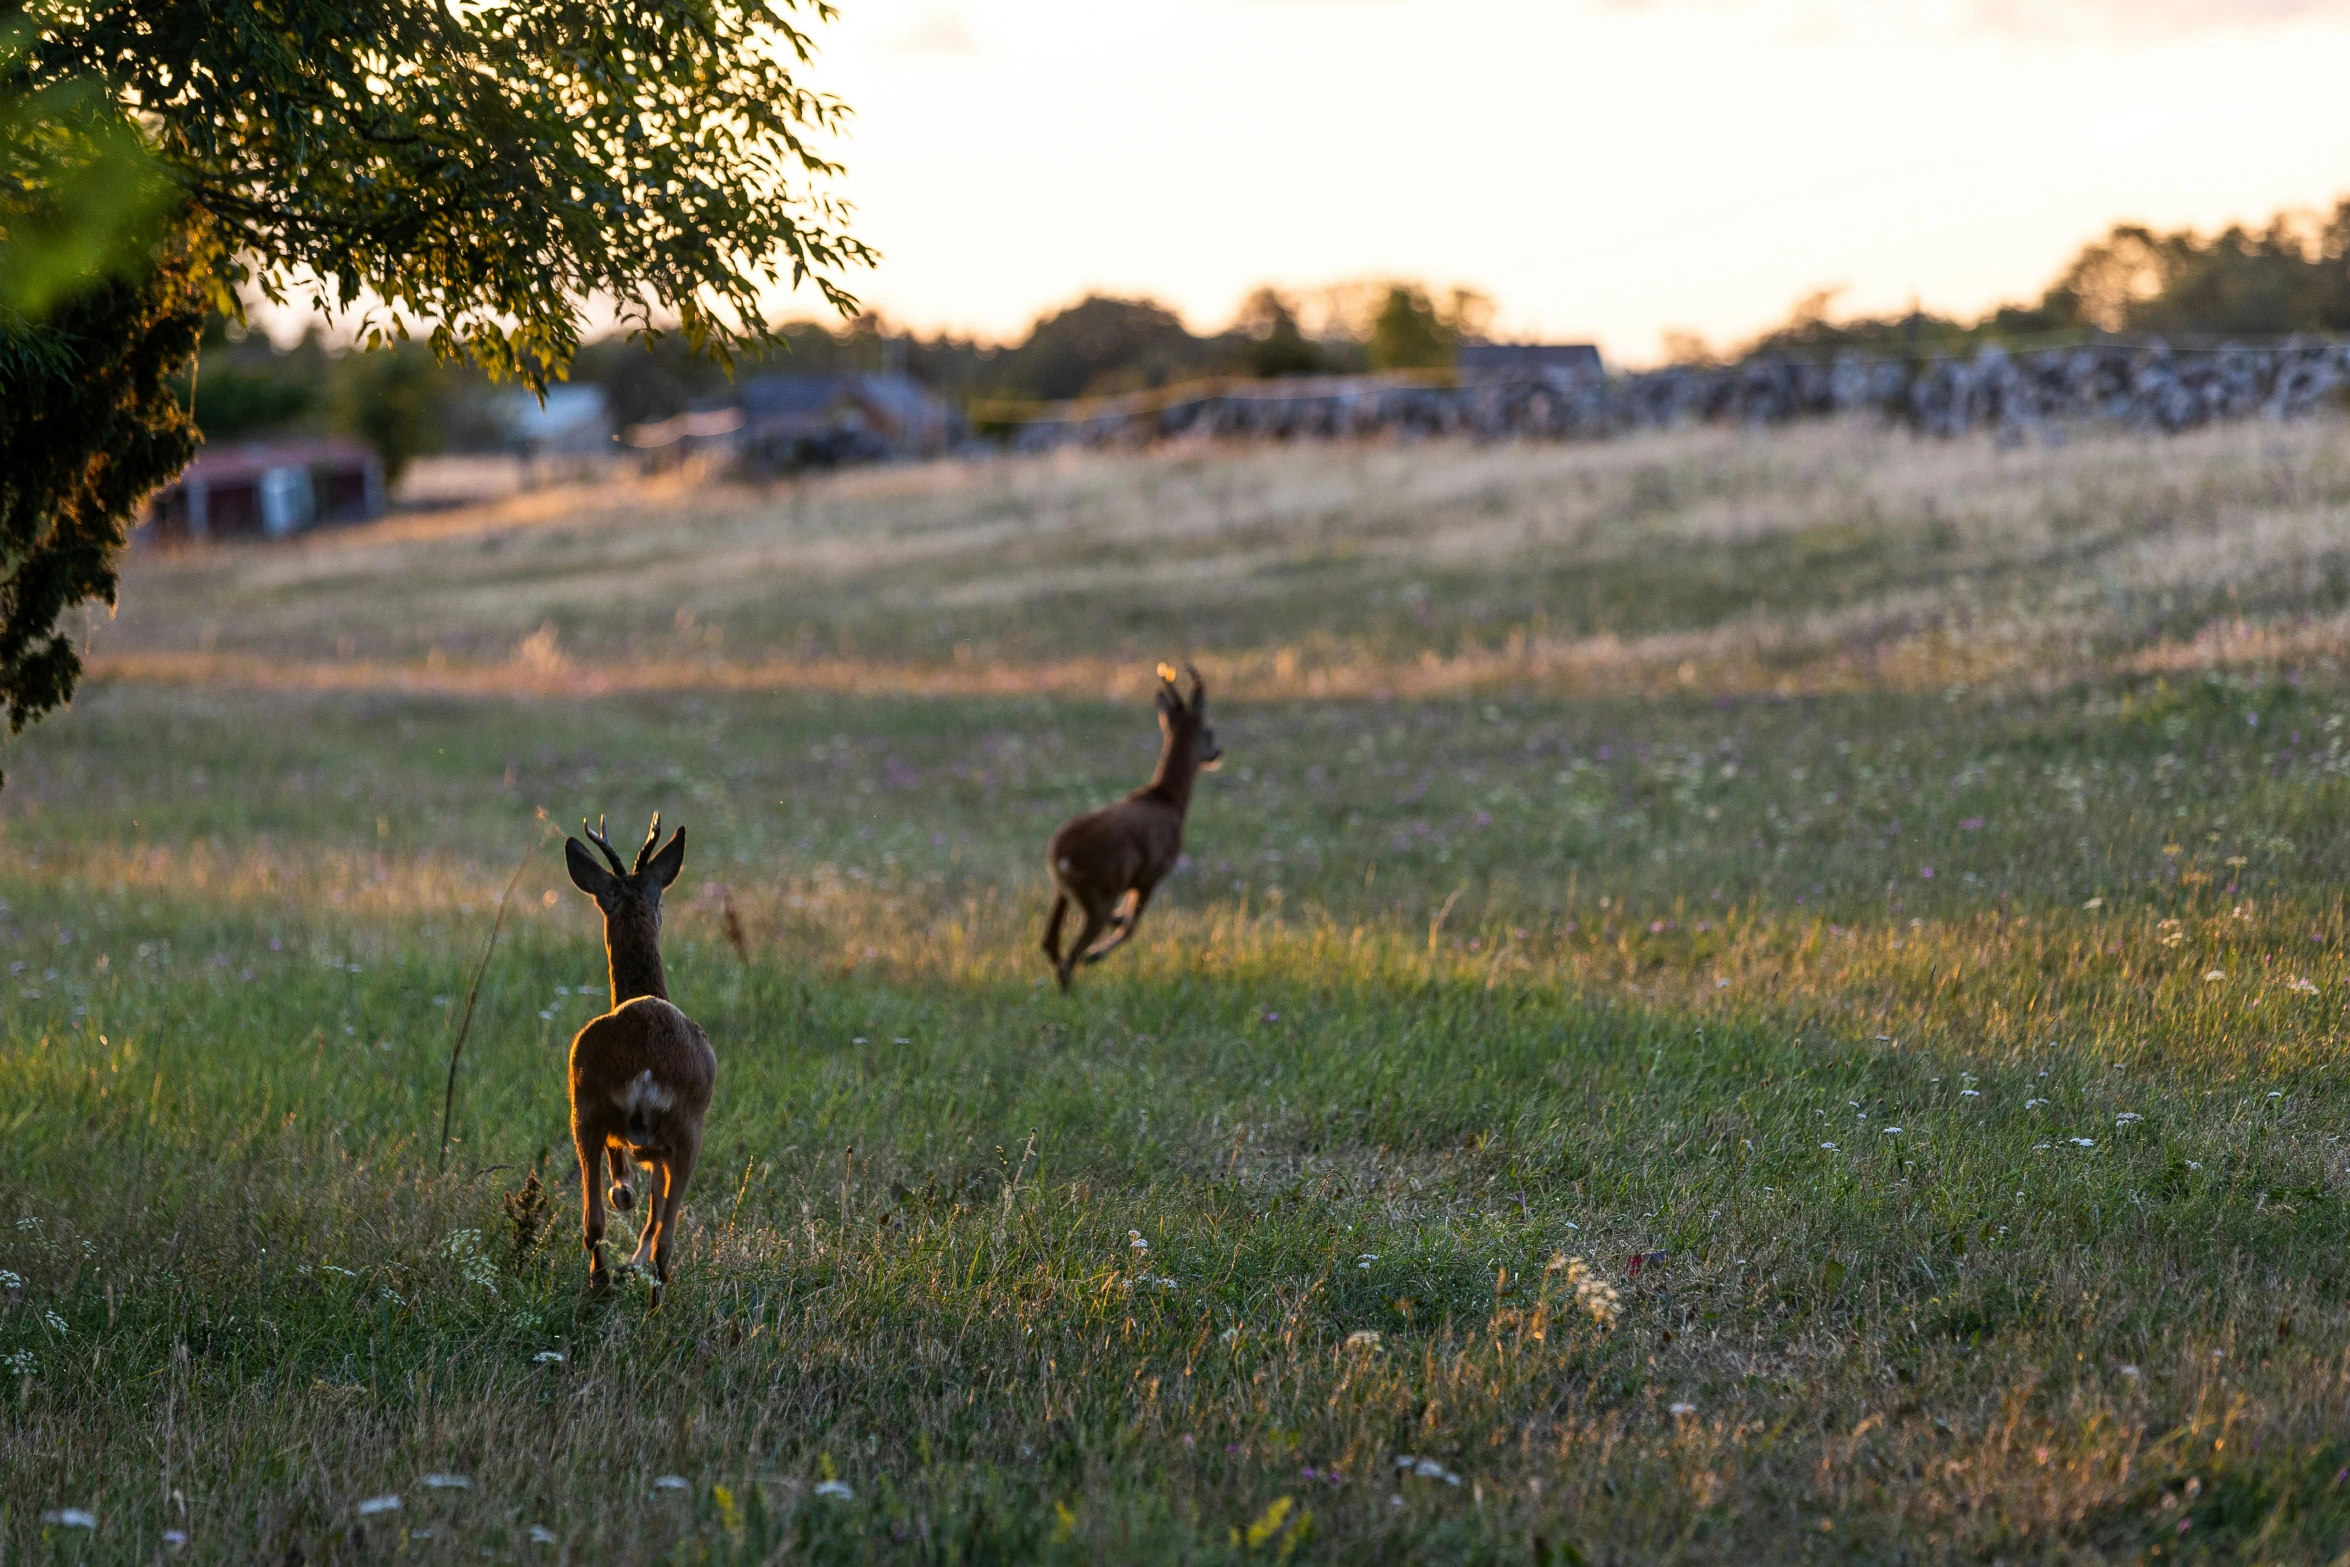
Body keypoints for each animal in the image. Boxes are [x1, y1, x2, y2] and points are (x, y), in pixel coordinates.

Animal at [561, 817, 714, 1296]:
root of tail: (645, 1070)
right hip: (680, 1126)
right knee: (661, 1236)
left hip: (589, 1108)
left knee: (595, 1222)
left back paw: (606, 1281)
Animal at [1048, 667, 1231, 991]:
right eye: (1209, 730)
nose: (1217, 752)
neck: (1167, 800)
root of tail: (1061, 854)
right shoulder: (1152, 874)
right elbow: (1132, 927)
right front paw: (1096, 955)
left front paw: (1113, 929)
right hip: (1102, 888)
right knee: (1068, 958)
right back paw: (1081, 969)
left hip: (1065, 890)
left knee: (1049, 943)